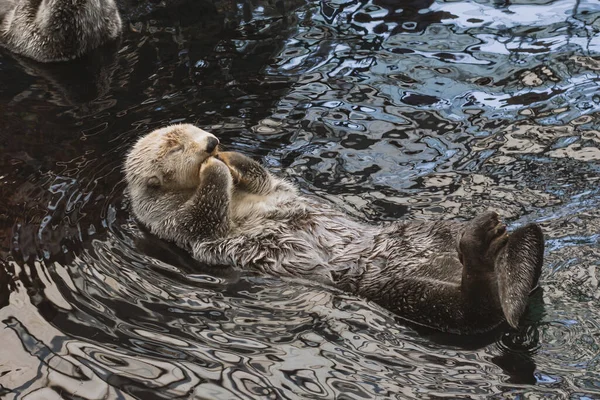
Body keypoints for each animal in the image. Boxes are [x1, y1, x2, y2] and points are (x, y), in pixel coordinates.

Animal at [125, 124, 544, 334]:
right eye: (176, 147)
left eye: (198, 129)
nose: (211, 142)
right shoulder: (175, 226)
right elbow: (204, 214)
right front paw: (214, 169)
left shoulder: (269, 188)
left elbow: (262, 177)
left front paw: (229, 157)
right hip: (398, 293)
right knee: (474, 311)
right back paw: (483, 249)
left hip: (427, 230)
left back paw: (504, 243)